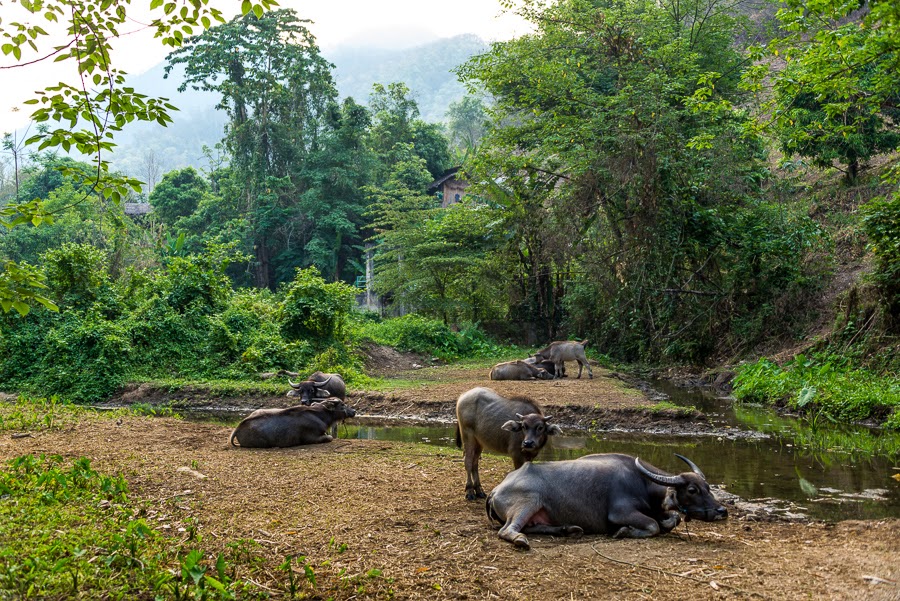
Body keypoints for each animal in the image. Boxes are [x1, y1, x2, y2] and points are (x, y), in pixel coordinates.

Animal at [488, 452, 728, 548]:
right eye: (692, 490)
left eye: (708, 487)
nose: (722, 511)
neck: (642, 484)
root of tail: (497, 489)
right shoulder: (621, 513)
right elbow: (653, 525)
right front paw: (624, 531)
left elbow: (672, 519)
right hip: (528, 503)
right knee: (508, 530)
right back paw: (521, 540)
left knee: (532, 527)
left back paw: (568, 529)